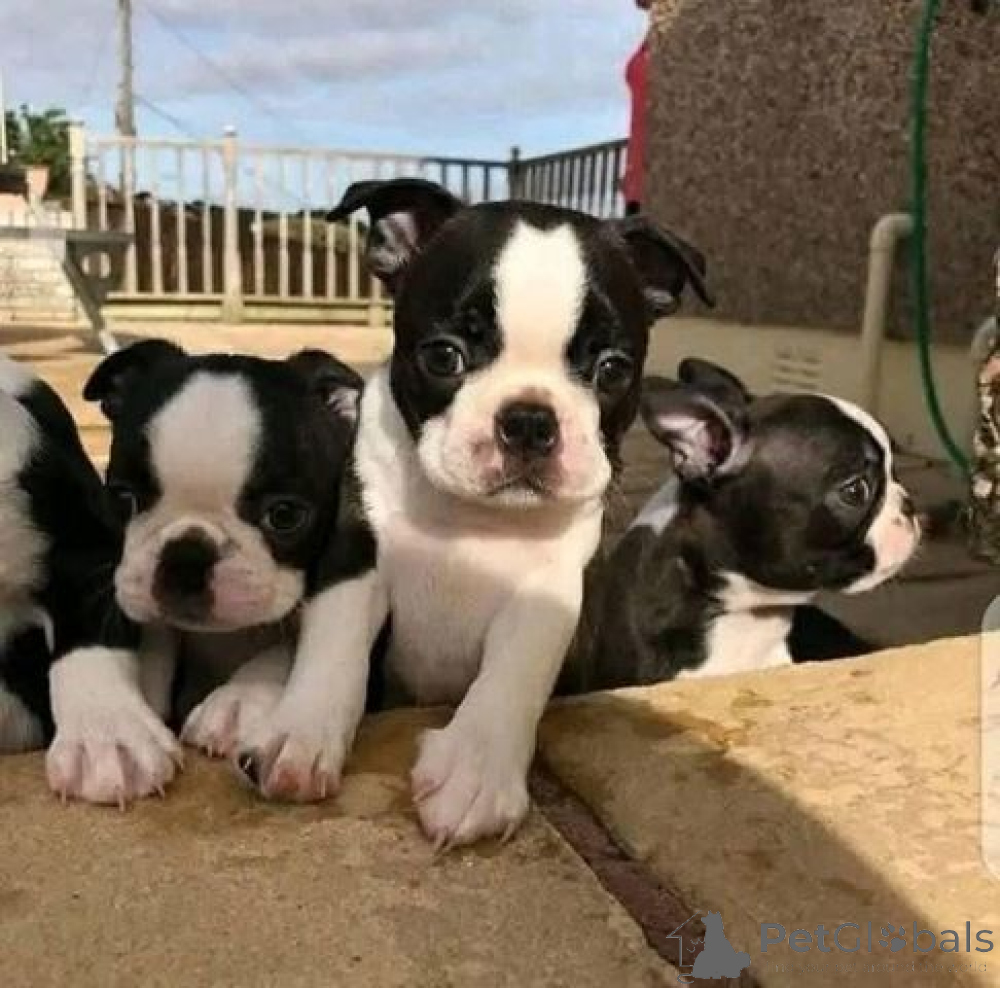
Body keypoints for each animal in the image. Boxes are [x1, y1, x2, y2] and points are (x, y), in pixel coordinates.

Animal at [235, 178, 713, 846]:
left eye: (612, 369)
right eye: (444, 356)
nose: (530, 420)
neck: (473, 520)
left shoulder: (550, 589)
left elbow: (515, 668)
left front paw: (477, 769)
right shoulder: (357, 556)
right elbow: (334, 642)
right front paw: (301, 734)